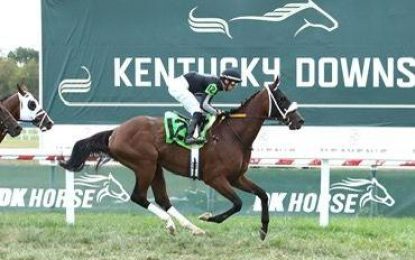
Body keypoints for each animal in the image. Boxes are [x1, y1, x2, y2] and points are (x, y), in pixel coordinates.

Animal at [60, 76, 304, 240]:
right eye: (282, 98)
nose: (299, 121)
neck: (233, 135)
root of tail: (116, 132)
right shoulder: (215, 178)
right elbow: (237, 203)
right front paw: (209, 217)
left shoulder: (236, 177)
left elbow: (263, 195)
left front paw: (263, 229)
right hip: (144, 164)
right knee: (139, 197)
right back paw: (172, 225)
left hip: (155, 167)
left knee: (163, 199)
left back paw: (191, 228)